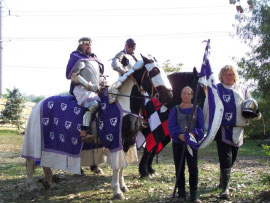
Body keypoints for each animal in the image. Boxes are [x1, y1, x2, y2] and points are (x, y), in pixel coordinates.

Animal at [21, 54, 173, 200]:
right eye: (155, 71)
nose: (169, 95)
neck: (123, 104)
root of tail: (37, 105)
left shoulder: (127, 141)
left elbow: (122, 166)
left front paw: (123, 186)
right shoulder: (116, 142)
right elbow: (117, 166)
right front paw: (117, 191)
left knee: (44, 161)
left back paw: (47, 181)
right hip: (36, 139)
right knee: (30, 161)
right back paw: (31, 186)